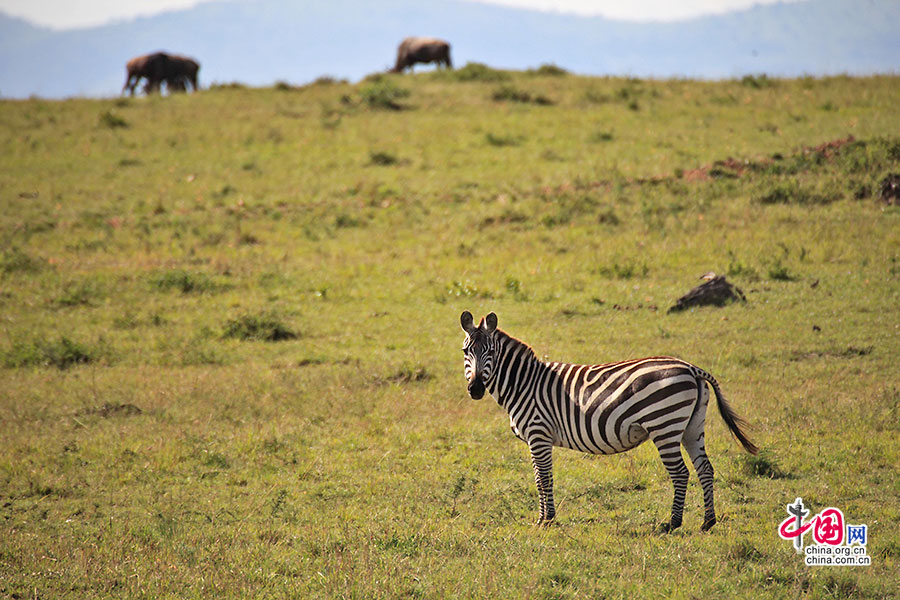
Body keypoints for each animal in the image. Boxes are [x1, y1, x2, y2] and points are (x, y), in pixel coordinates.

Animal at [458, 310, 760, 528]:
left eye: (491, 352)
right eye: (465, 352)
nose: (475, 389)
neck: (524, 383)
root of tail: (691, 368)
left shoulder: (539, 434)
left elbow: (543, 478)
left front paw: (546, 520)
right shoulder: (536, 439)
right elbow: (538, 477)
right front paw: (544, 518)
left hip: (664, 426)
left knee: (681, 473)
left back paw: (672, 523)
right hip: (692, 427)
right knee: (705, 469)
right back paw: (708, 522)